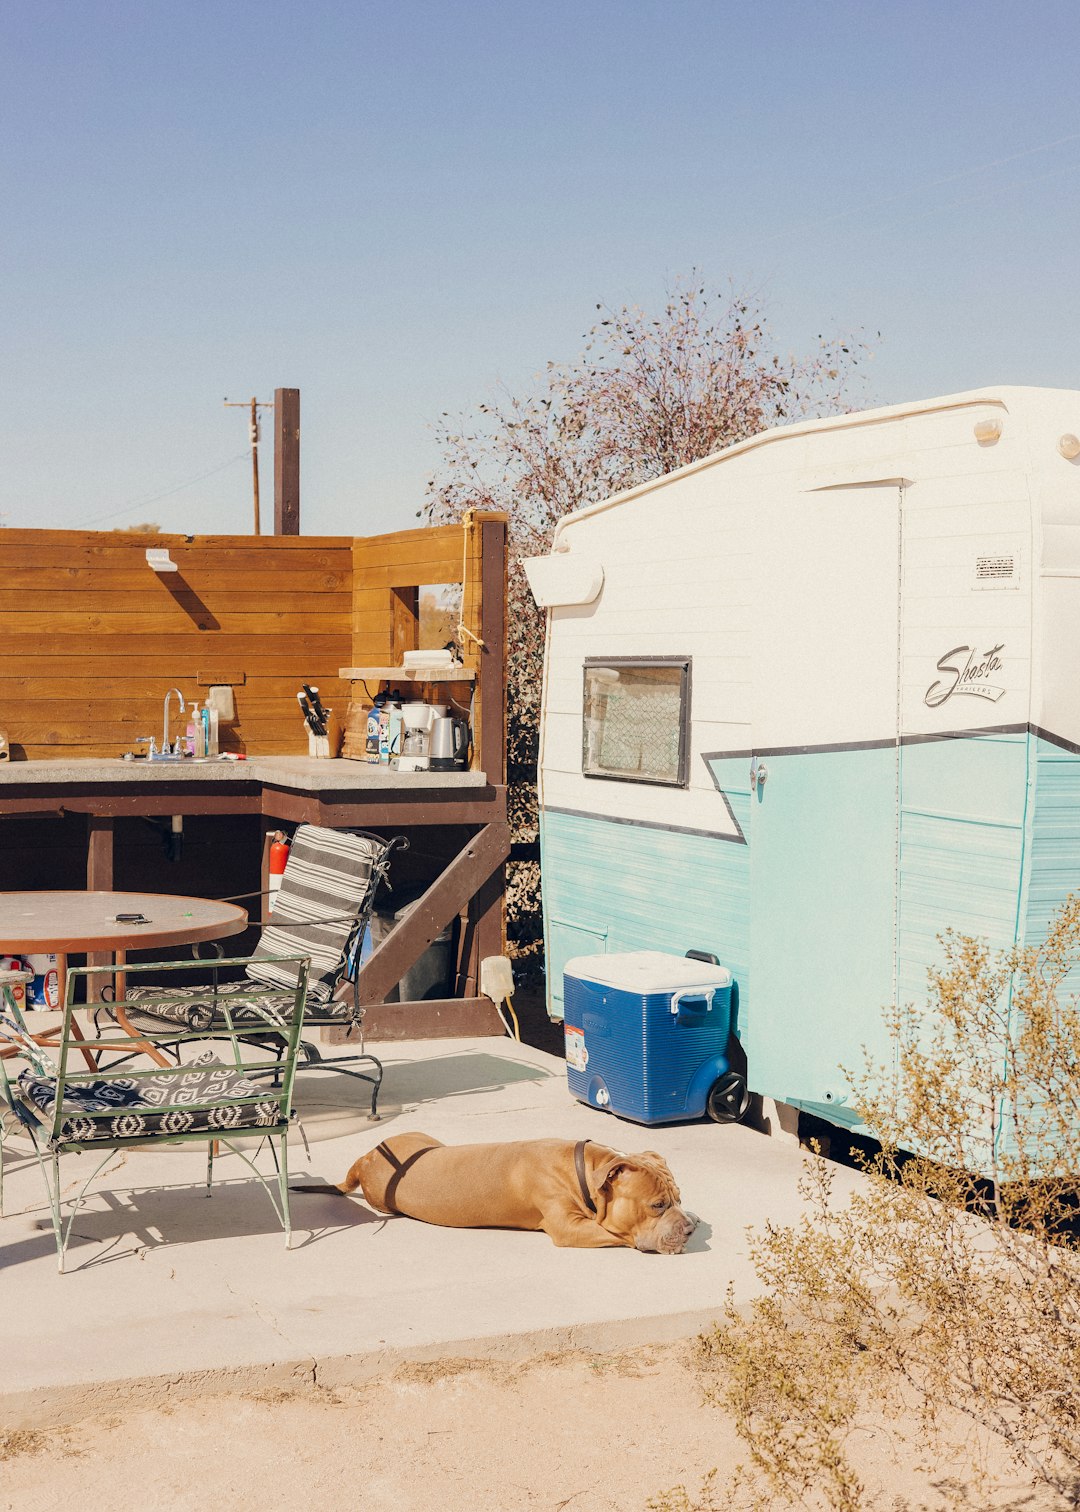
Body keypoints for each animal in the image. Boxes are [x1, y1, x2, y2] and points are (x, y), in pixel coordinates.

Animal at [291, 1137, 698, 1251]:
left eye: (679, 1198)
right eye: (657, 1205)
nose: (690, 1228)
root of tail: (364, 1160)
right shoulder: (569, 1227)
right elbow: (618, 1234)